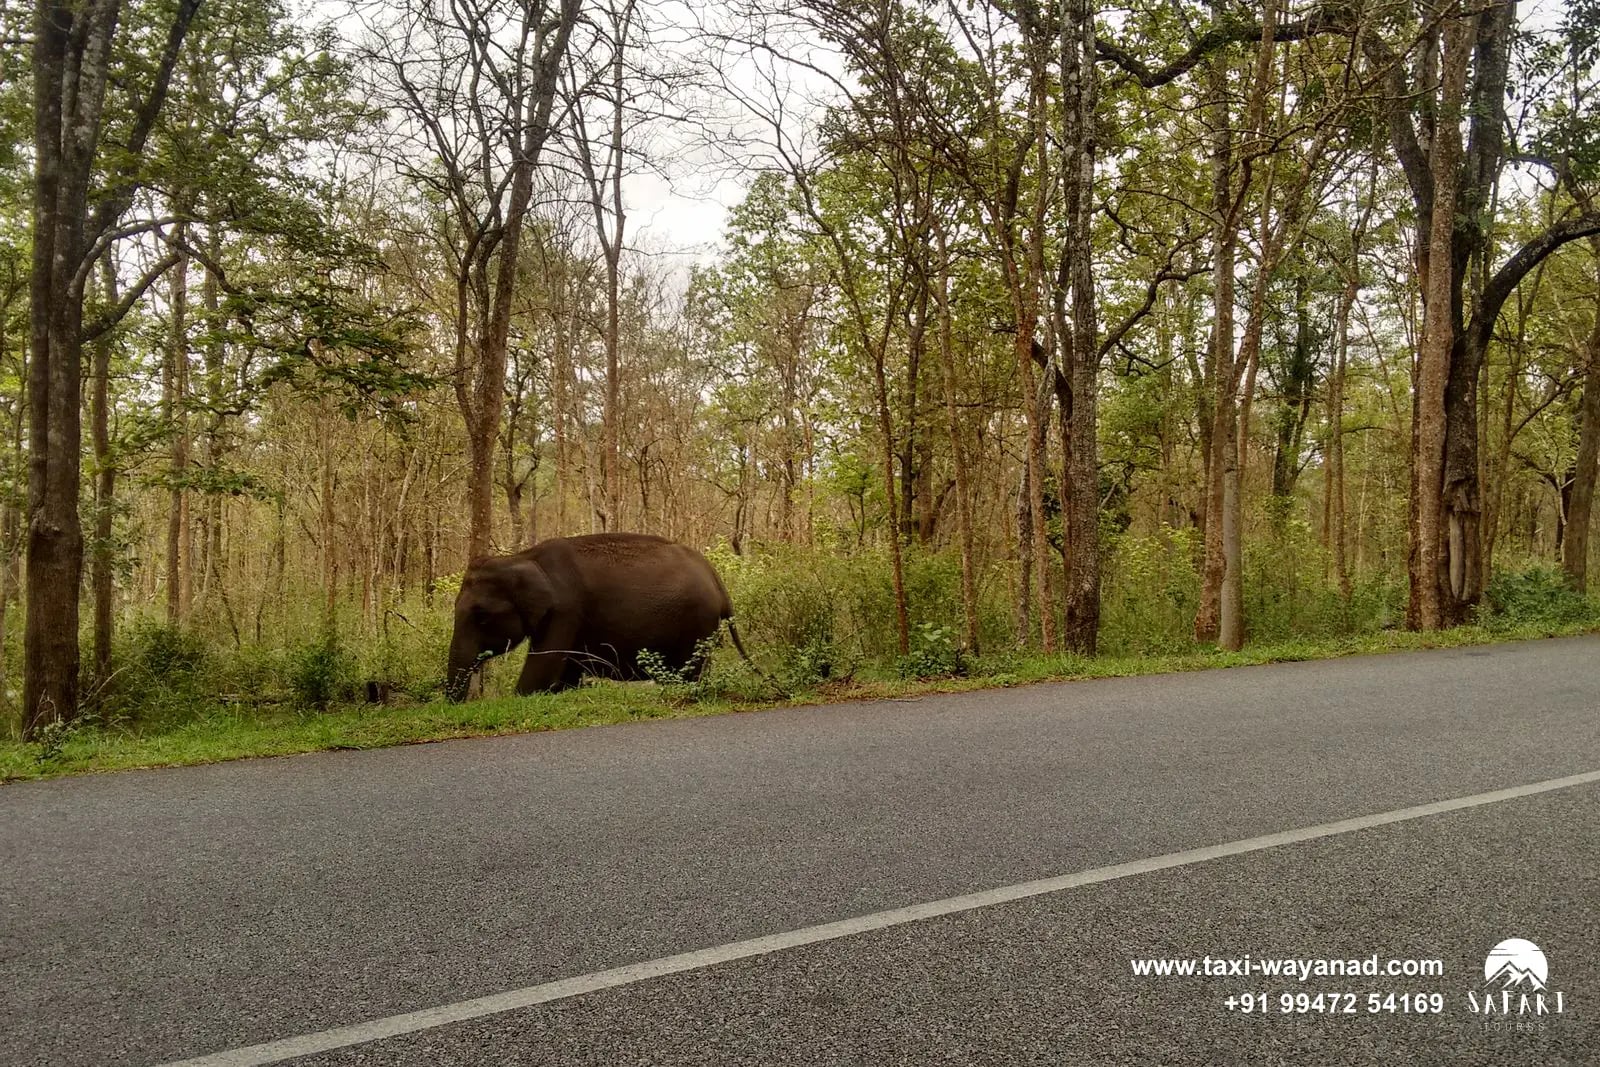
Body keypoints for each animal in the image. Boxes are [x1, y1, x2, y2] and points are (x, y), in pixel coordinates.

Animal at [444, 533, 747, 701]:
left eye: (481, 617)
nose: (454, 703)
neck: (523, 557)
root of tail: (715, 577)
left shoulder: (565, 611)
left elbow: (541, 669)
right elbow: (566, 674)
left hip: (698, 623)